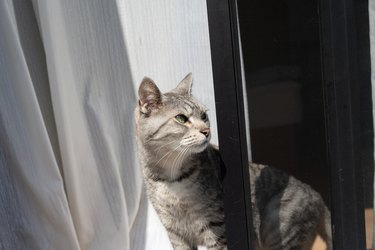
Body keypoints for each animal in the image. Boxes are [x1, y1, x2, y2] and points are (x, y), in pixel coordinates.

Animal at [134, 73, 332, 250]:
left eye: (204, 115)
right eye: (181, 118)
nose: (206, 131)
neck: (171, 178)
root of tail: (317, 195)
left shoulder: (217, 227)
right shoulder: (175, 233)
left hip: (276, 227)